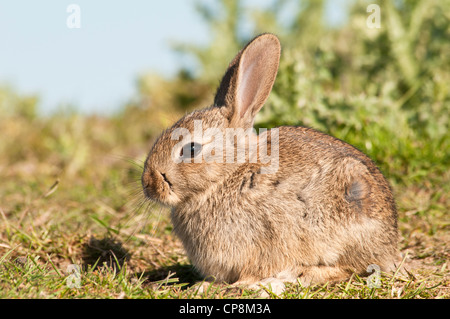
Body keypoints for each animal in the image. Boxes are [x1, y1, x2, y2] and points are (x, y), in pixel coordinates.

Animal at [142, 33, 400, 292]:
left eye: (191, 149)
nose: (148, 184)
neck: (228, 174)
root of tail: (390, 240)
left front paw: (242, 285)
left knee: (349, 268)